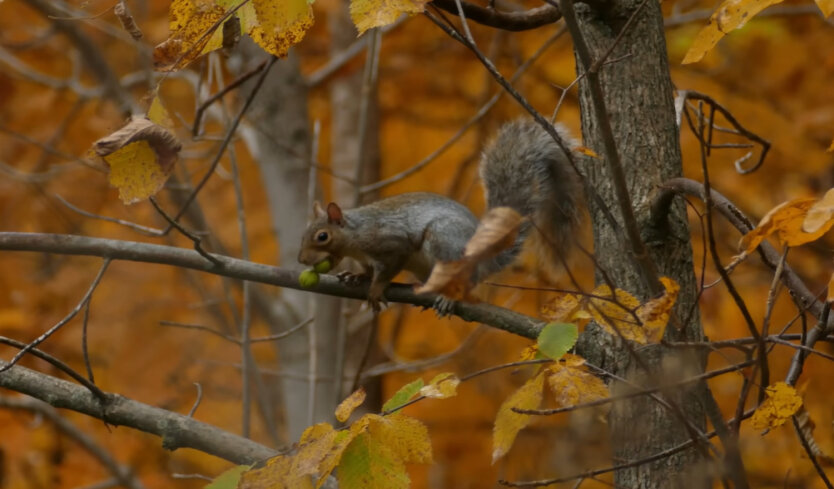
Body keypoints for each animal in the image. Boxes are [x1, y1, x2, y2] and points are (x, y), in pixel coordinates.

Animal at [298, 118, 580, 310]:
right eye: (303, 235)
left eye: (322, 236)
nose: (301, 260)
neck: (355, 236)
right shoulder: (366, 257)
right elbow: (368, 270)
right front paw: (357, 276)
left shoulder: (390, 243)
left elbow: (389, 267)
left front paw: (376, 289)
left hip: (443, 238)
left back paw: (448, 297)